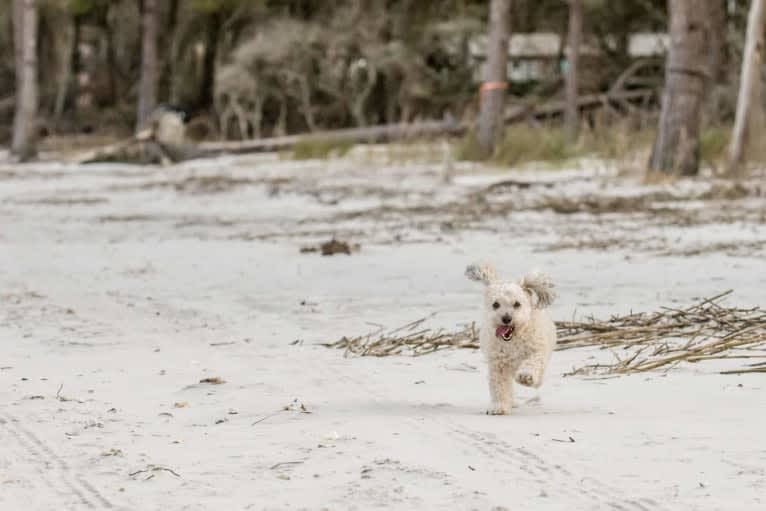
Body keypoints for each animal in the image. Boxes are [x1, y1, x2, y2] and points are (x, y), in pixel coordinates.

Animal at [468, 264, 560, 416]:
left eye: (517, 304)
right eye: (496, 304)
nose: (506, 318)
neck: (513, 340)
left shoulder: (537, 351)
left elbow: (532, 362)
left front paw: (526, 376)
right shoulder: (498, 364)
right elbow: (499, 386)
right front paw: (499, 407)